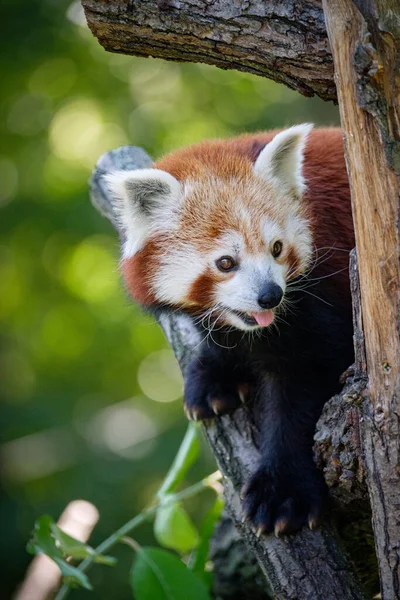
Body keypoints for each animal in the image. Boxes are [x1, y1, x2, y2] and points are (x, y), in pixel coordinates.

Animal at [105, 125, 354, 536]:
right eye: (225, 263)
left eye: (277, 248)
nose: (270, 295)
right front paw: (215, 375)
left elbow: (303, 384)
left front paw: (283, 492)